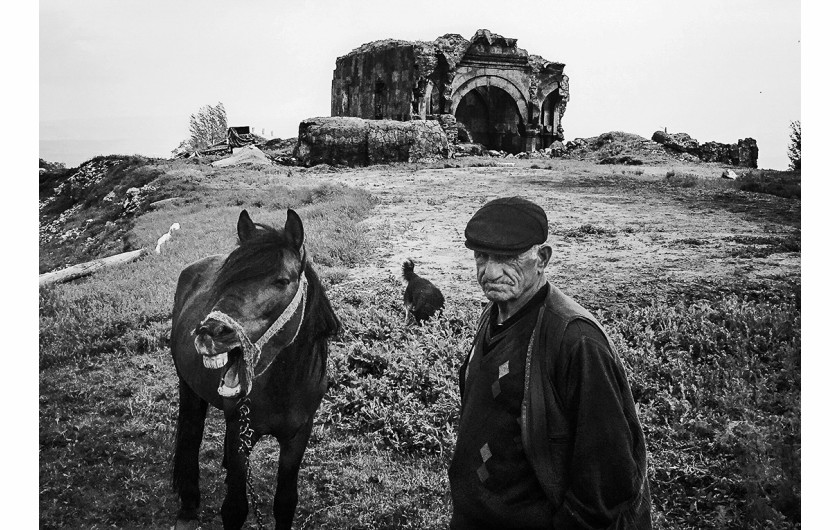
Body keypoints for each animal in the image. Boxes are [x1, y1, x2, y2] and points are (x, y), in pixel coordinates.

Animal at [169, 209, 340, 528]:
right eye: (226, 280)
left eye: (282, 281)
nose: (210, 332)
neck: (284, 385)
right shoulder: (240, 431)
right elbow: (235, 508)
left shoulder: (297, 436)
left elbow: (285, 502)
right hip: (189, 390)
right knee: (190, 437)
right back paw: (188, 504)